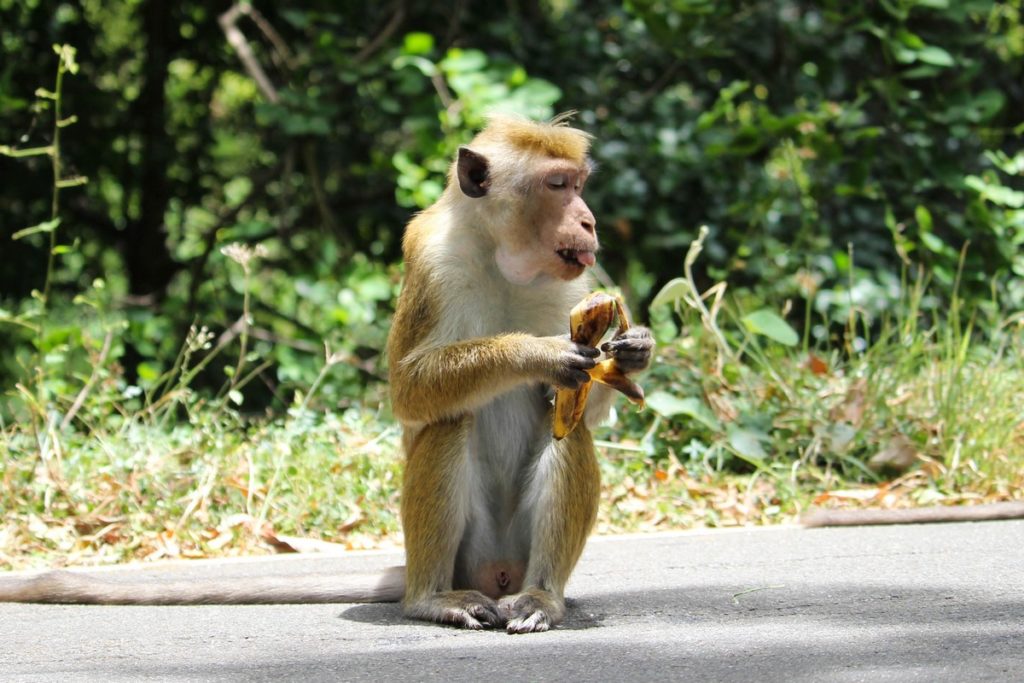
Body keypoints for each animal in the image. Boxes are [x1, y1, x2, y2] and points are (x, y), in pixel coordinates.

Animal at [0, 113, 655, 634]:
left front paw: (634, 350)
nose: (590, 222)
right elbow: (411, 392)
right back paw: (431, 601)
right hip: (464, 556)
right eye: (557, 185)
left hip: (512, 559)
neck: (503, 259)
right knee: (451, 423)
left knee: (566, 428)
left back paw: (542, 597)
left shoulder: (578, 280)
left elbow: (585, 401)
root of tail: (491, 575)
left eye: (579, 185)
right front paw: (538, 353)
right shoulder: (431, 259)